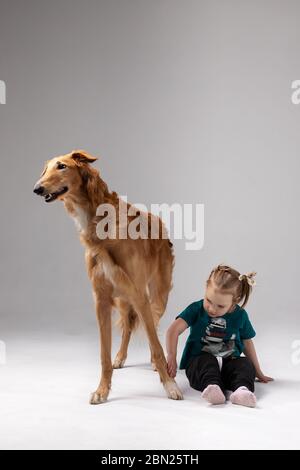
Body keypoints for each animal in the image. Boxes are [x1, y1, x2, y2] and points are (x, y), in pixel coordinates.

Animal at [33, 151, 183, 404]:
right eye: (45, 170)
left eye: (62, 166)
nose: (37, 188)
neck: (97, 222)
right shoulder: (101, 299)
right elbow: (104, 354)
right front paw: (102, 390)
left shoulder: (139, 295)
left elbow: (155, 345)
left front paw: (170, 386)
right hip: (123, 300)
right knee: (128, 328)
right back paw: (120, 357)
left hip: (157, 296)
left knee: (152, 326)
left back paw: (154, 363)